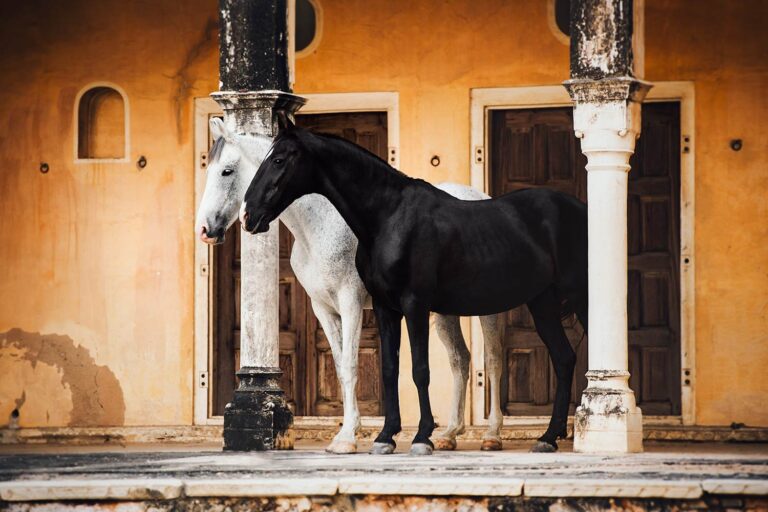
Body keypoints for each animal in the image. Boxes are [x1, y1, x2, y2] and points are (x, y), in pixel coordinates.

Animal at [240, 118, 588, 455]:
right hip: (541, 303)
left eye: (279, 159)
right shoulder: (385, 307)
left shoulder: (414, 304)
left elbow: (420, 369)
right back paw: (548, 437)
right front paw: (385, 437)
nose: (248, 215)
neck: (388, 217)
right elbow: (390, 369)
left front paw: (422, 437)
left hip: (578, 301)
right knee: (564, 359)